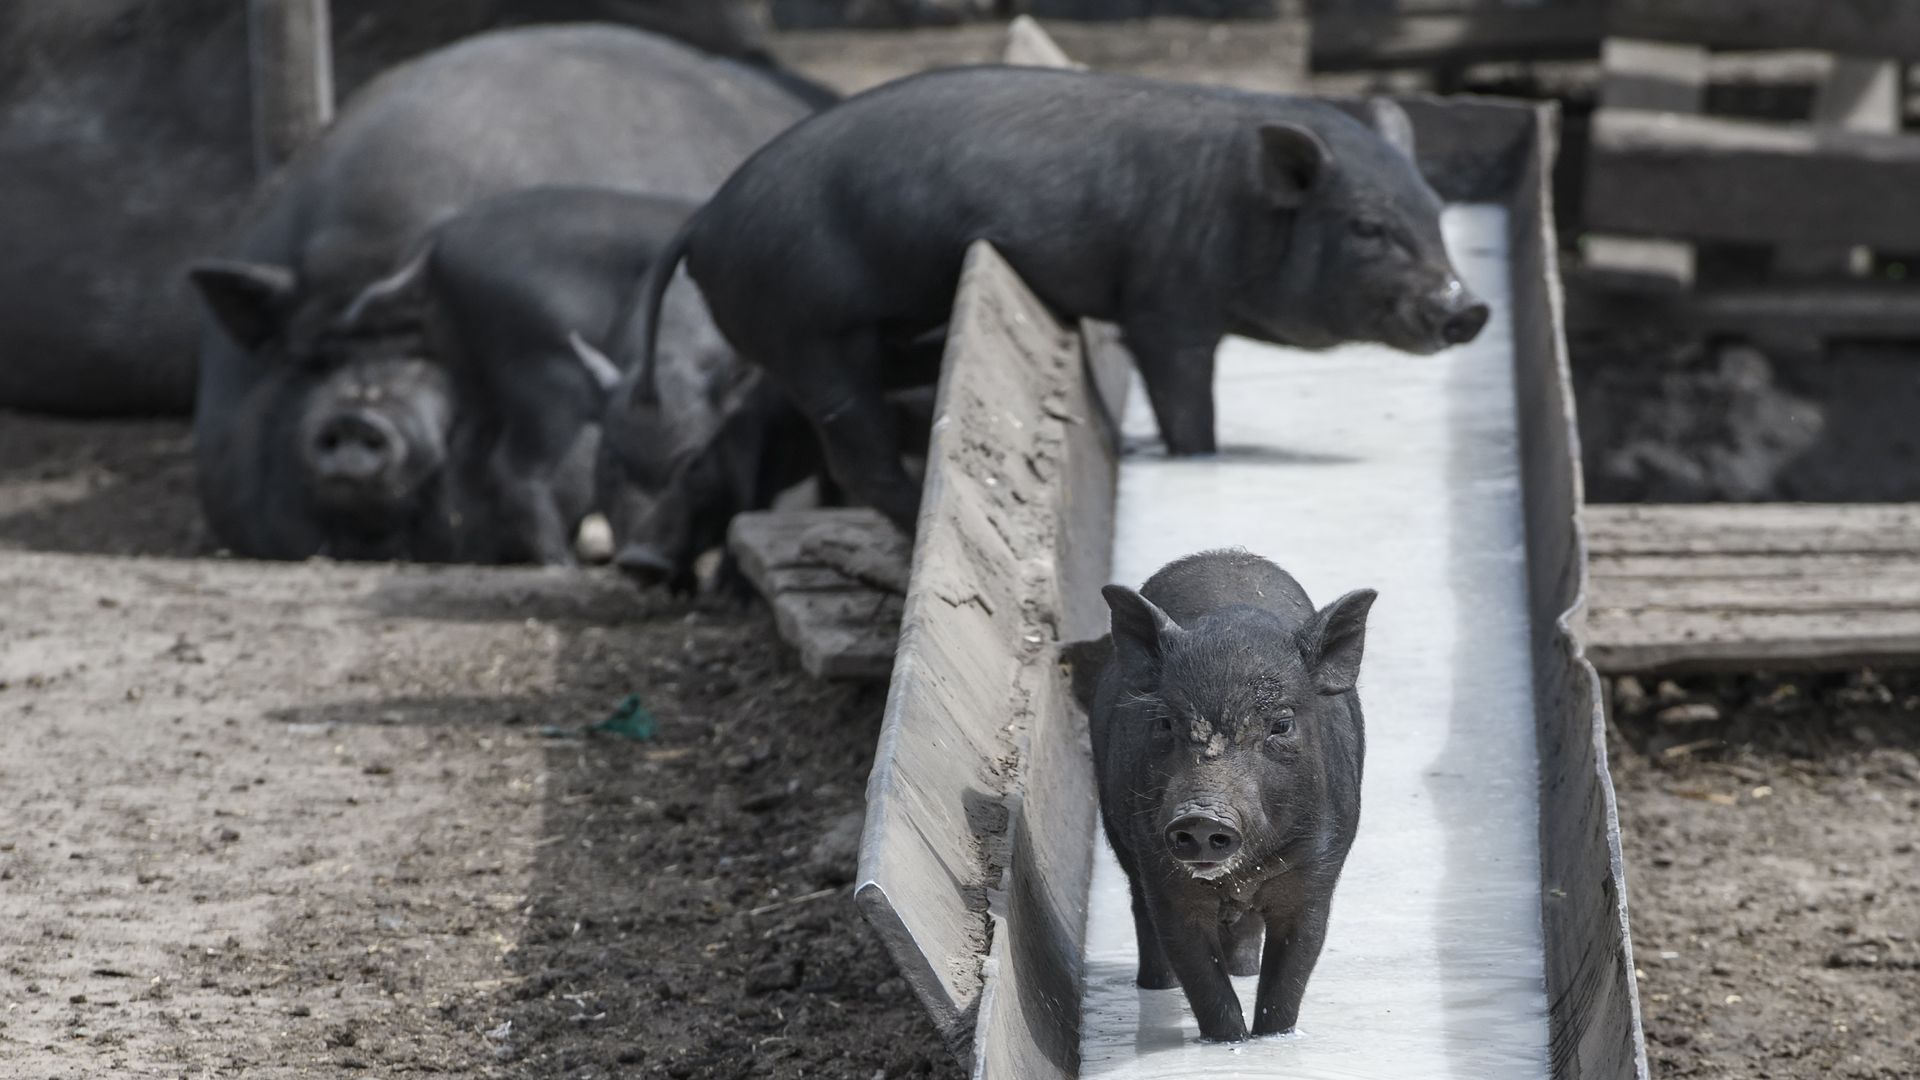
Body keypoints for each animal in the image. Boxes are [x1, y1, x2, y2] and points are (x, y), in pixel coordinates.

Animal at [623, 67, 1489, 533]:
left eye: (1433, 211)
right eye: (1369, 228)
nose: (1471, 309)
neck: (1235, 208)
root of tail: (706, 219)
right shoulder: (1165, 304)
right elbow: (1187, 409)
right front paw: (1197, 453)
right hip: (807, 334)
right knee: (857, 451)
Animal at [1090, 548, 1374, 1042]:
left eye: (1281, 724)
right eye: (1165, 721)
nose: (1201, 817)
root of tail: (1224, 555)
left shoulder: (1317, 871)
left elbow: (1293, 968)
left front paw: (1273, 1039)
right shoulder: (1163, 873)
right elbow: (1198, 973)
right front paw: (1228, 1041)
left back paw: (1244, 970)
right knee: (1141, 914)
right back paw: (1155, 986)